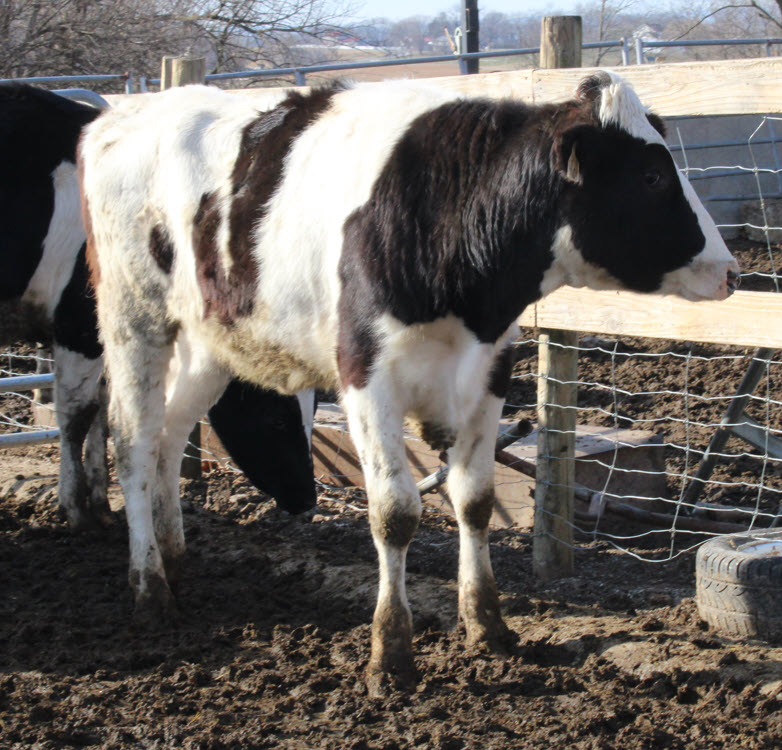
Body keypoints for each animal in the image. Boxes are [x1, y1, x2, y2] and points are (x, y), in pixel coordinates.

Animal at [0, 82, 317, 530]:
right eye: (277, 417)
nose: (308, 500)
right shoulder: (78, 326)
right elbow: (78, 414)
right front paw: (74, 507)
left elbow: (102, 412)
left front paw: (100, 503)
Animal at [78, 72, 739, 692]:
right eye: (651, 177)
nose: (730, 271)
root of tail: (118, 118)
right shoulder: (367, 379)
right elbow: (395, 513)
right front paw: (390, 654)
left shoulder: (491, 371)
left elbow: (474, 501)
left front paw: (488, 626)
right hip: (134, 319)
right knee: (134, 445)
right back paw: (150, 589)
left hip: (209, 342)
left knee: (169, 439)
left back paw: (176, 561)